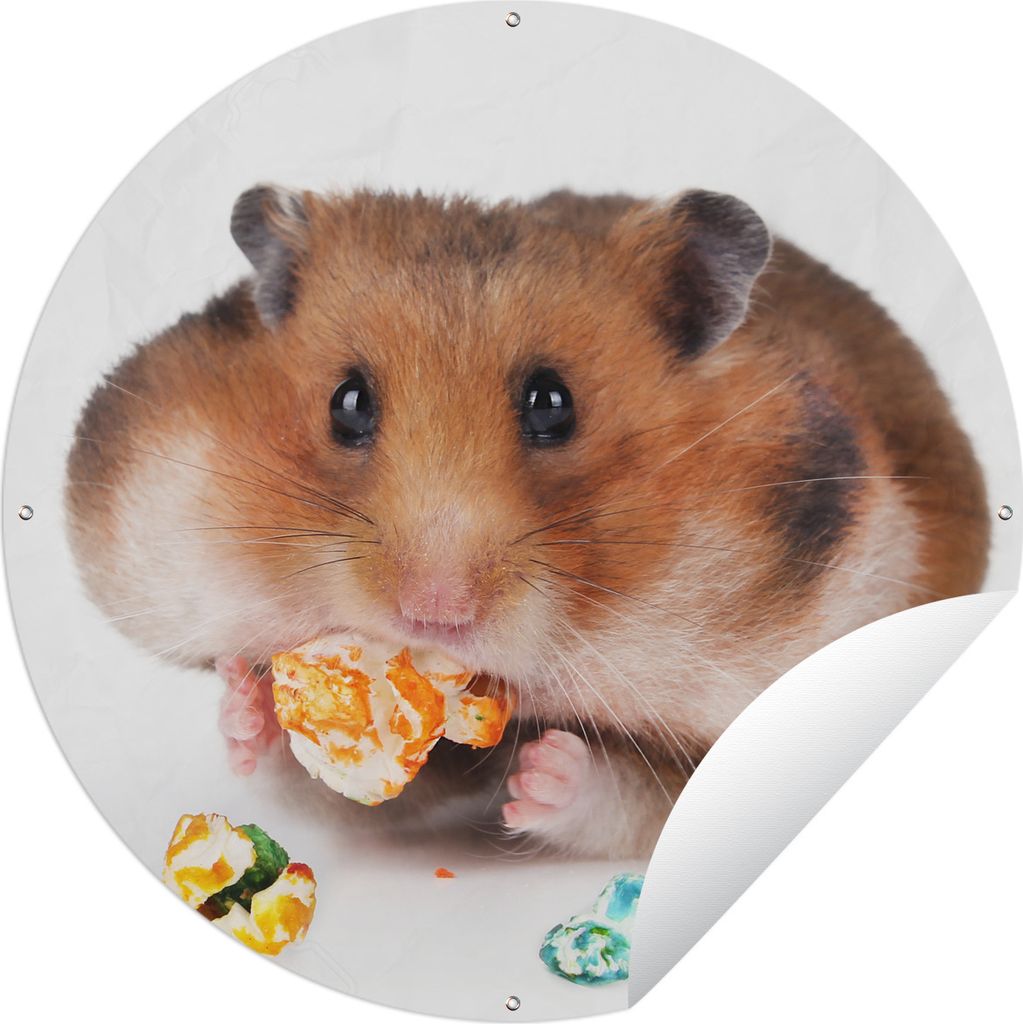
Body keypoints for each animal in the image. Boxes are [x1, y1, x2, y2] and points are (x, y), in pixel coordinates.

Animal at [64, 185, 990, 858]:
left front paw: (538, 773)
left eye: (554, 405)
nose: (432, 614)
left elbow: (635, 799)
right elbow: (319, 791)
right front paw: (243, 700)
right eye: (347, 403)